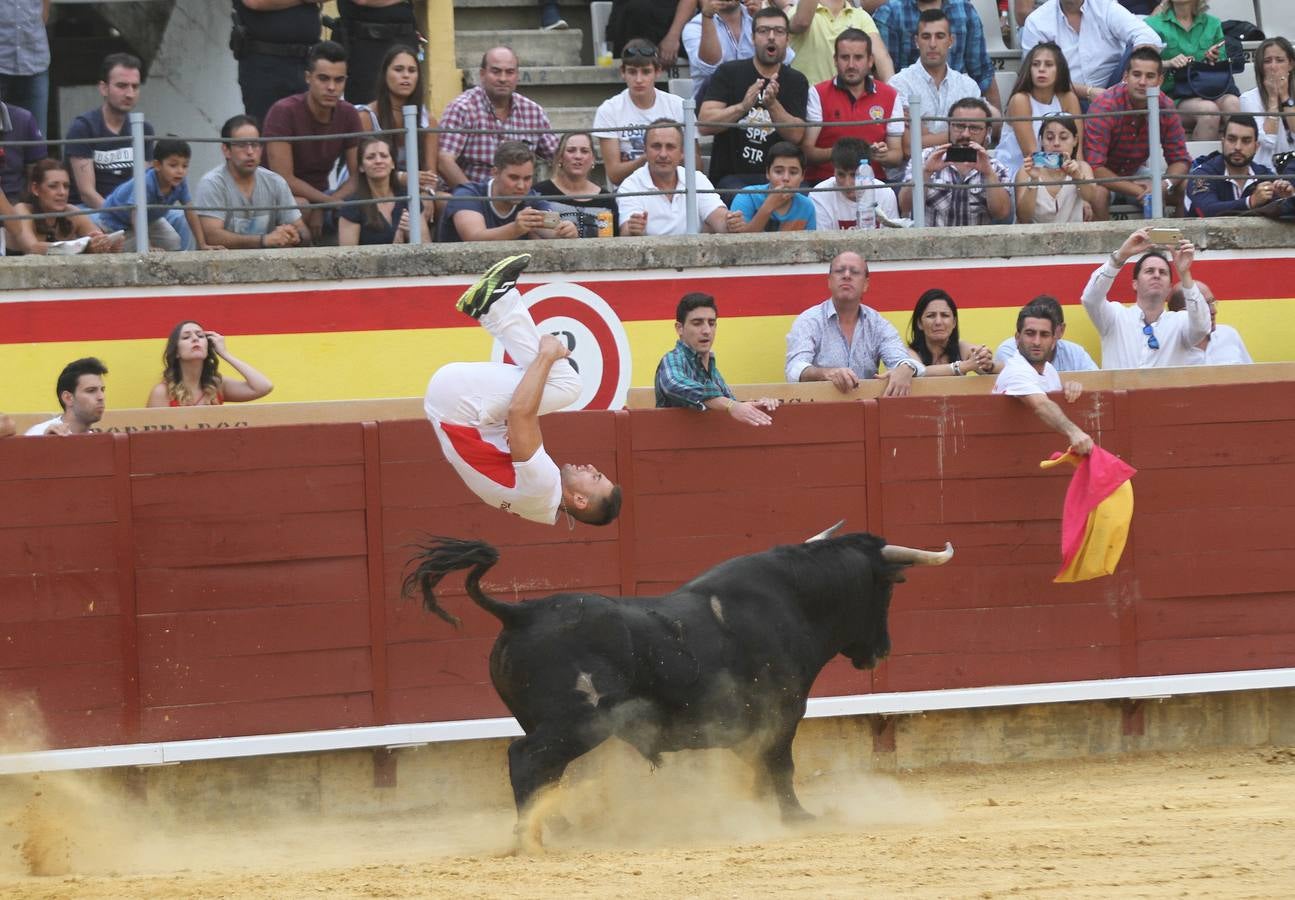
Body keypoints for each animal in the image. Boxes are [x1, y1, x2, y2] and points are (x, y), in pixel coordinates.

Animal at [404, 536, 953, 839]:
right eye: (889, 588)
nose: (880, 650)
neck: (792, 601)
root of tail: (520, 612)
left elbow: (761, 768)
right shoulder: (783, 712)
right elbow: (782, 765)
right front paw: (796, 817)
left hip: (552, 724)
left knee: (544, 771)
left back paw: (556, 825)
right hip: (578, 722)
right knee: (525, 759)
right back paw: (529, 835)